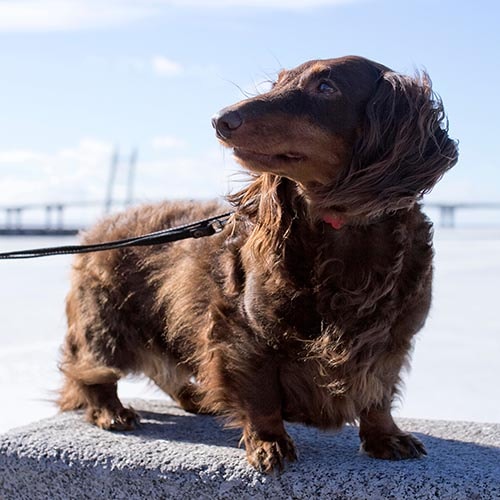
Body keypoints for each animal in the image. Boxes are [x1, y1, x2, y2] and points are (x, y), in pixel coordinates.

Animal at [57, 55, 458, 472]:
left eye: (325, 87)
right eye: (277, 83)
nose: (220, 120)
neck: (342, 232)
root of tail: (98, 227)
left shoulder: (391, 338)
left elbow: (379, 391)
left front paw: (386, 436)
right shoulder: (244, 334)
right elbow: (260, 395)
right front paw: (270, 442)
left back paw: (195, 397)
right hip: (105, 327)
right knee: (90, 371)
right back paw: (111, 411)